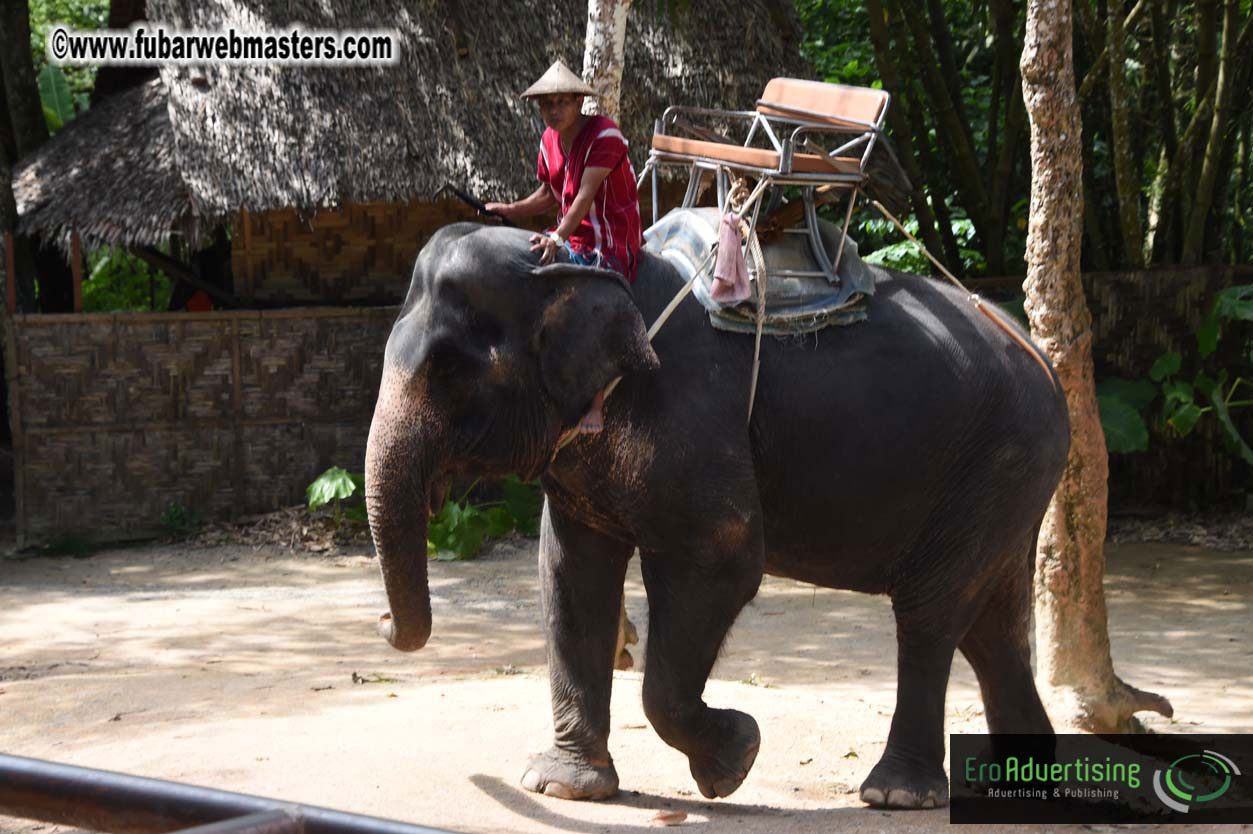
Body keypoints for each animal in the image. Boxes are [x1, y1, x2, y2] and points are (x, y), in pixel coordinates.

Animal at [364, 221, 1069, 809]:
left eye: (447, 368)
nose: (380, 623)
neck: (578, 266)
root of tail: (1043, 358)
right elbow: (570, 576)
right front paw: (562, 787)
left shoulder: (690, 418)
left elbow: (721, 562)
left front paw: (735, 759)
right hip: (1003, 483)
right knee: (990, 624)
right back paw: (1023, 787)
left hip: (1000, 459)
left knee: (930, 613)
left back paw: (897, 794)